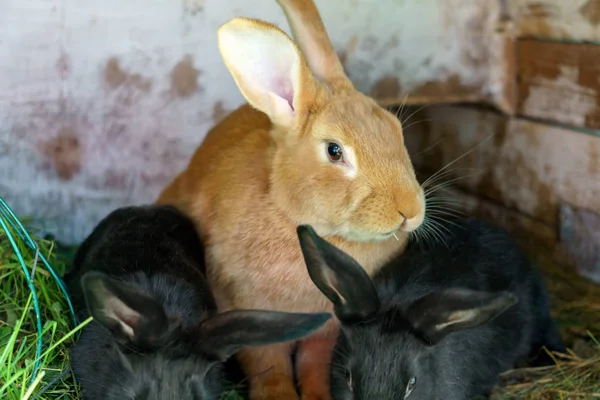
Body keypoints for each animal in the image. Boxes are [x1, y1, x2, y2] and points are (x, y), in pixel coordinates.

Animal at [157, 1, 424, 398]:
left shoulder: (327, 328)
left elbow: (315, 364)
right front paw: (279, 395)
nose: (410, 210)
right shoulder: (247, 310)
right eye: (334, 151)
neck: (298, 222)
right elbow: (269, 365)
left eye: (396, 129)